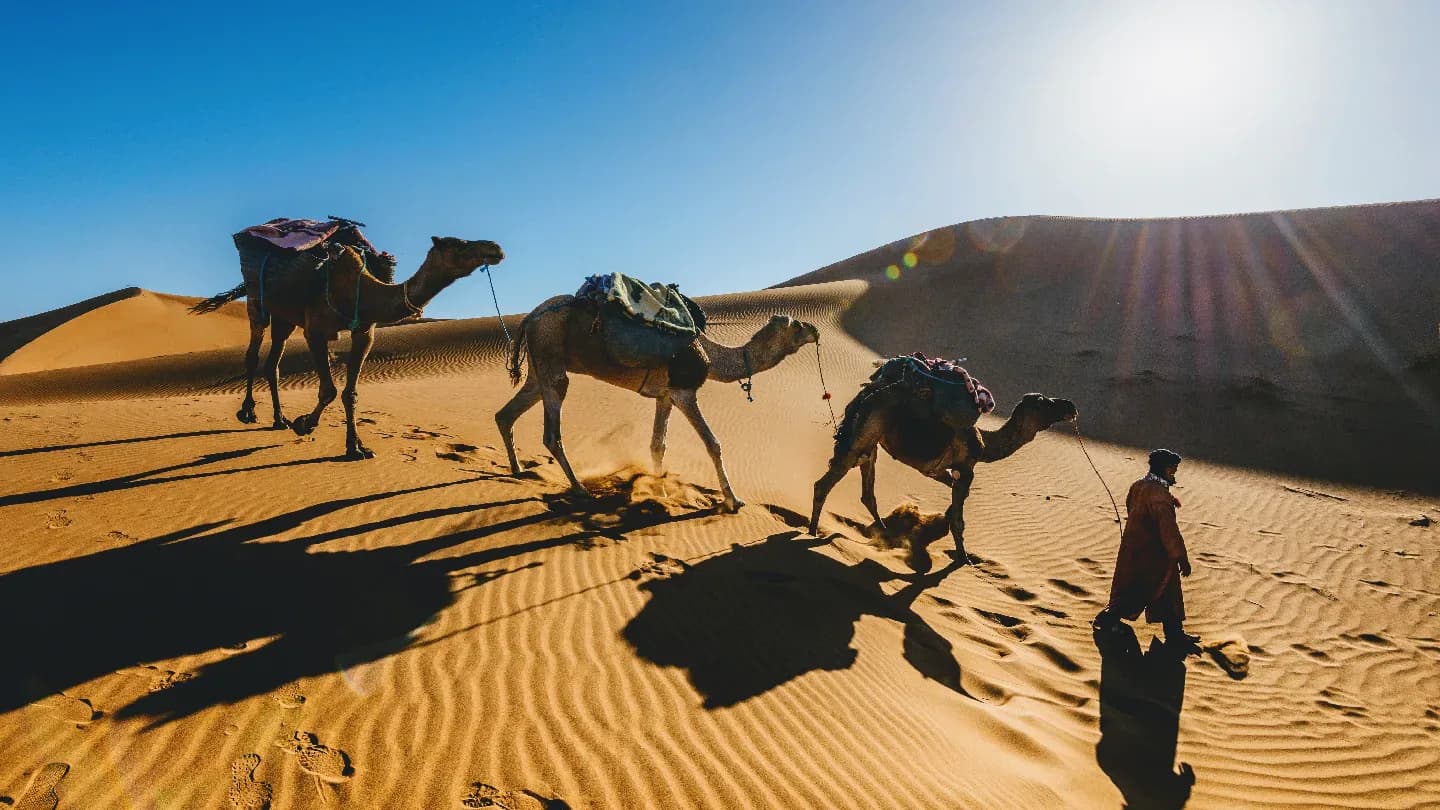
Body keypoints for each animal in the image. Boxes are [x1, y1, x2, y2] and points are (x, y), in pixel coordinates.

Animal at [193, 237, 504, 458]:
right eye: (458, 243)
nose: (496, 248)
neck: (362, 291)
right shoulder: (315, 331)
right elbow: (329, 390)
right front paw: (305, 424)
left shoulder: (364, 332)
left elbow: (350, 392)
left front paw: (355, 447)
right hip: (257, 303)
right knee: (252, 354)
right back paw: (248, 413)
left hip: (285, 318)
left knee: (273, 365)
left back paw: (279, 419)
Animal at [497, 295, 820, 512]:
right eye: (796, 325)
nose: (815, 330)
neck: (711, 356)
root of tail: (529, 317)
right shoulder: (684, 391)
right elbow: (713, 443)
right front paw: (734, 500)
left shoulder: (665, 395)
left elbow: (657, 445)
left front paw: (659, 491)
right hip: (550, 351)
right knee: (552, 430)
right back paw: (579, 489)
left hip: (539, 367)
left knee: (507, 413)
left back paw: (518, 470)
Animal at [809, 367, 1076, 562]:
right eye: (1045, 402)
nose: (1070, 406)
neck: (985, 444)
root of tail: (865, 396)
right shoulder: (966, 469)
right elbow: (959, 519)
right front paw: (964, 559)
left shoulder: (938, 469)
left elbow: (953, 495)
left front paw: (945, 522)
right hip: (863, 437)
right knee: (825, 484)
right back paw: (812, 532)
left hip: (871, 443)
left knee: (867, 491)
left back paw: (884, 532)